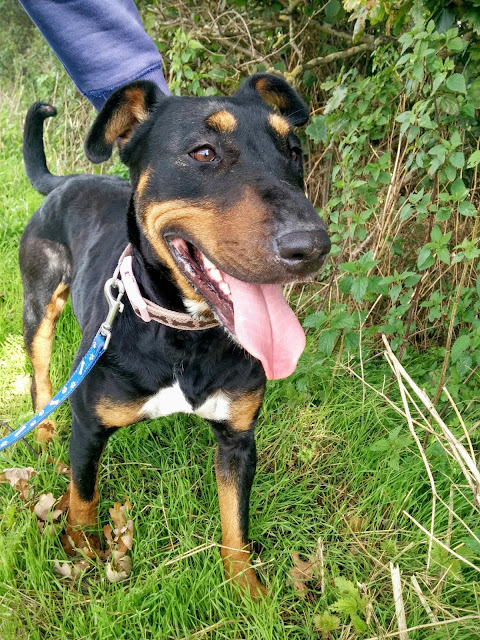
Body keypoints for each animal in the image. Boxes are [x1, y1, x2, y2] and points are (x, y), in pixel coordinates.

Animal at [20, 76, 332, 596]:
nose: (311, 247)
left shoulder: (238, 440)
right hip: (39, 305)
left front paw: (247, 593)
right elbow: (83, 497)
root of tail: (66, 180)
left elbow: (235, 524)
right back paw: (42, 428)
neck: (185, 336)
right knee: (40, 371)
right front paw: (82, 555)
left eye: (293, 151)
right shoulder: (88, 427)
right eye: (203, 152)